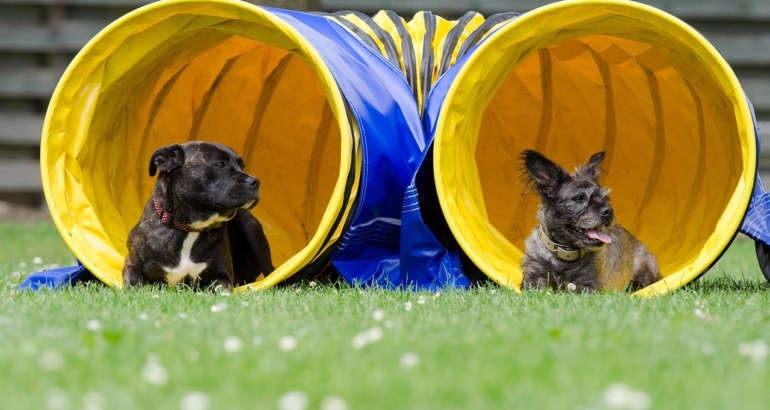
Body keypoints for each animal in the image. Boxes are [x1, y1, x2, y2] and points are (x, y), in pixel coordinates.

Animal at [121, 143, 274, 290]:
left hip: (253, 234)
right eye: (220, 164)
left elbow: (221, 289)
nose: (255, 181)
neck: (191, 228)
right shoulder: (132, 264)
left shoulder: (221, 276)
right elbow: (133, 281)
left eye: (242, 166)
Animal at [516, 150, 660, 292]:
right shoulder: (534, 275)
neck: (565, 255)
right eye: (579, 198)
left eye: (606, 198)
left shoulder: (589, 285)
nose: (609, 211)